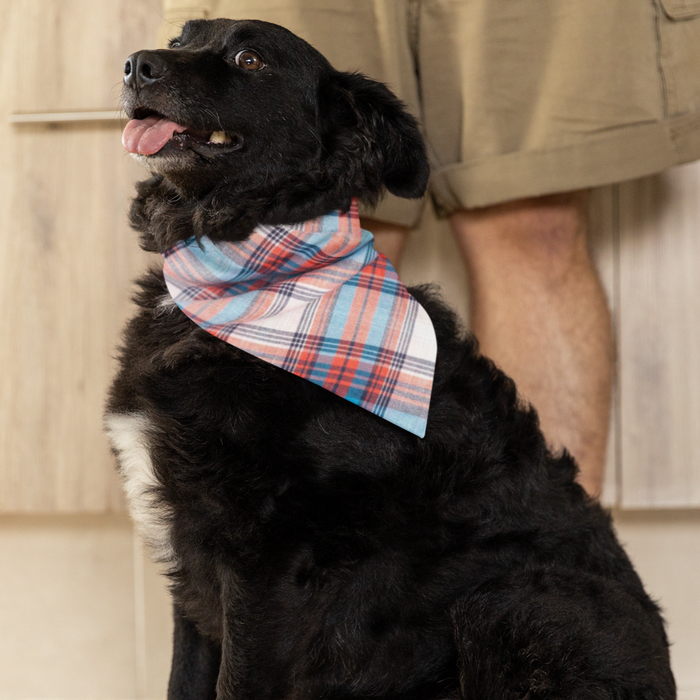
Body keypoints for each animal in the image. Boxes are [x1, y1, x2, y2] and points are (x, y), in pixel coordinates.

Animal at [106, 19, 676, 700]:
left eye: (249, 59)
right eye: (180, 39)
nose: (135, 65)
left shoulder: (266, 564)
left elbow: (235, 681)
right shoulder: (191, 556)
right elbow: (184, 680)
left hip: (512, 600)